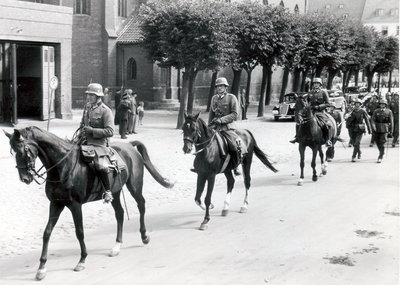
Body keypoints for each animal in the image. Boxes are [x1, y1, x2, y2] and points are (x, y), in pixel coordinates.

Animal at [3, 126, 174, 280]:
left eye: (24, 150)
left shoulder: (75, 205)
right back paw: (117, 246)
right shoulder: (56, 204)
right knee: (120, 213)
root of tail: (129, 146)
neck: (62, 167)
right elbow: (47, 233)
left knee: (141, 205)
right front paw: (41, 268)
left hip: (135, 186)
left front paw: (82, 260)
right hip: (116, 192)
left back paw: (144, 236)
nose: (25, 178)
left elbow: (79, 232)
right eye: (13, 152)